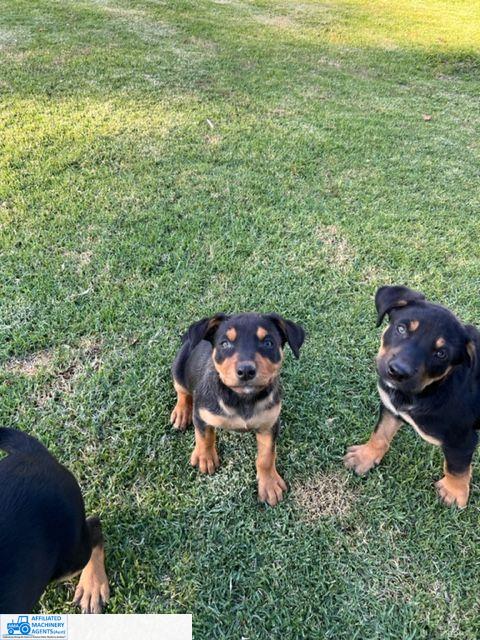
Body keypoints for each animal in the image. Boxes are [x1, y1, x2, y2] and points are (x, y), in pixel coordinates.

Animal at [170, 312, 305, 506]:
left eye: (268, 343)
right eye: (225, 343)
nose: (246, 371)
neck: (242, 398)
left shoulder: (270, 425)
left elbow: (266, 456)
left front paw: (269, 484)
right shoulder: (201, 413)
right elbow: (204, 437)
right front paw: (205, 457)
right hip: (178, 367)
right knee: (181, 390)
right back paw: (181, 413)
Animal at [344, 285, 479, 508]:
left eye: (441, 354)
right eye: (401, 329)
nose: (398, 372)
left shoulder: (462, 439)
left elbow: (457, 468)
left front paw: (454, 493)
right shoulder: (391, 408)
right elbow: (380, 434)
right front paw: (365, 457)